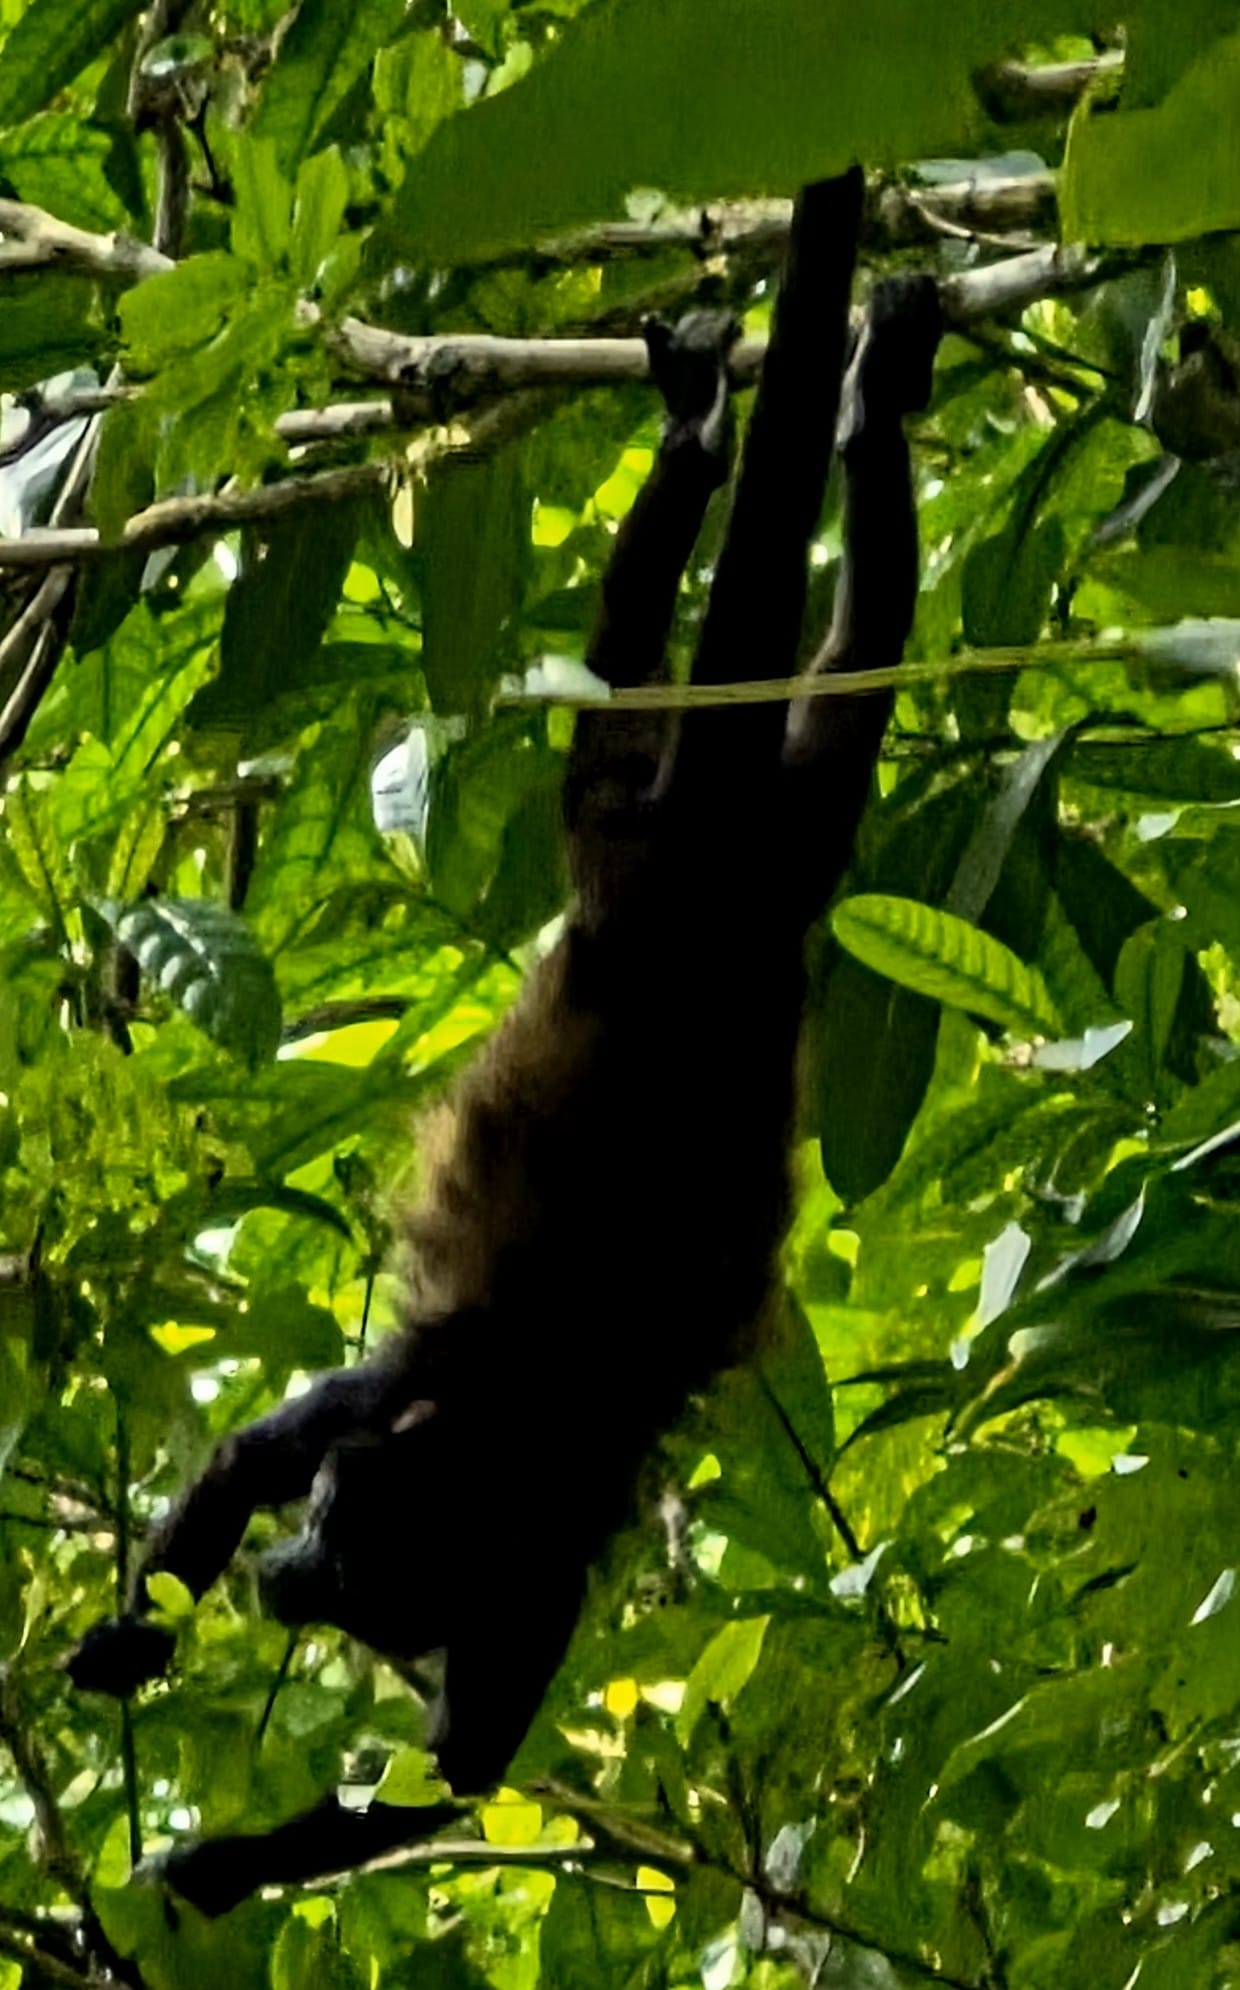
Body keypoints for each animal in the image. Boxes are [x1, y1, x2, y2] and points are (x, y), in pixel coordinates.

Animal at [68, 169, 942, 1917]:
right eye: (328, 1544)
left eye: (360, 1588)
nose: (283, 1579)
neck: (503, 1438)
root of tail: (721, 905)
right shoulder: (411, 1383)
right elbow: (252, 1443)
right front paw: (135, 1644)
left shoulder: (536, 1571)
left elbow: (460, 1767)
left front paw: (214, 1870)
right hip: (652, 844)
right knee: (644, 706)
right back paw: (721, 437)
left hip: (755, 838)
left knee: (831, 679)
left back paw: (844, 418)